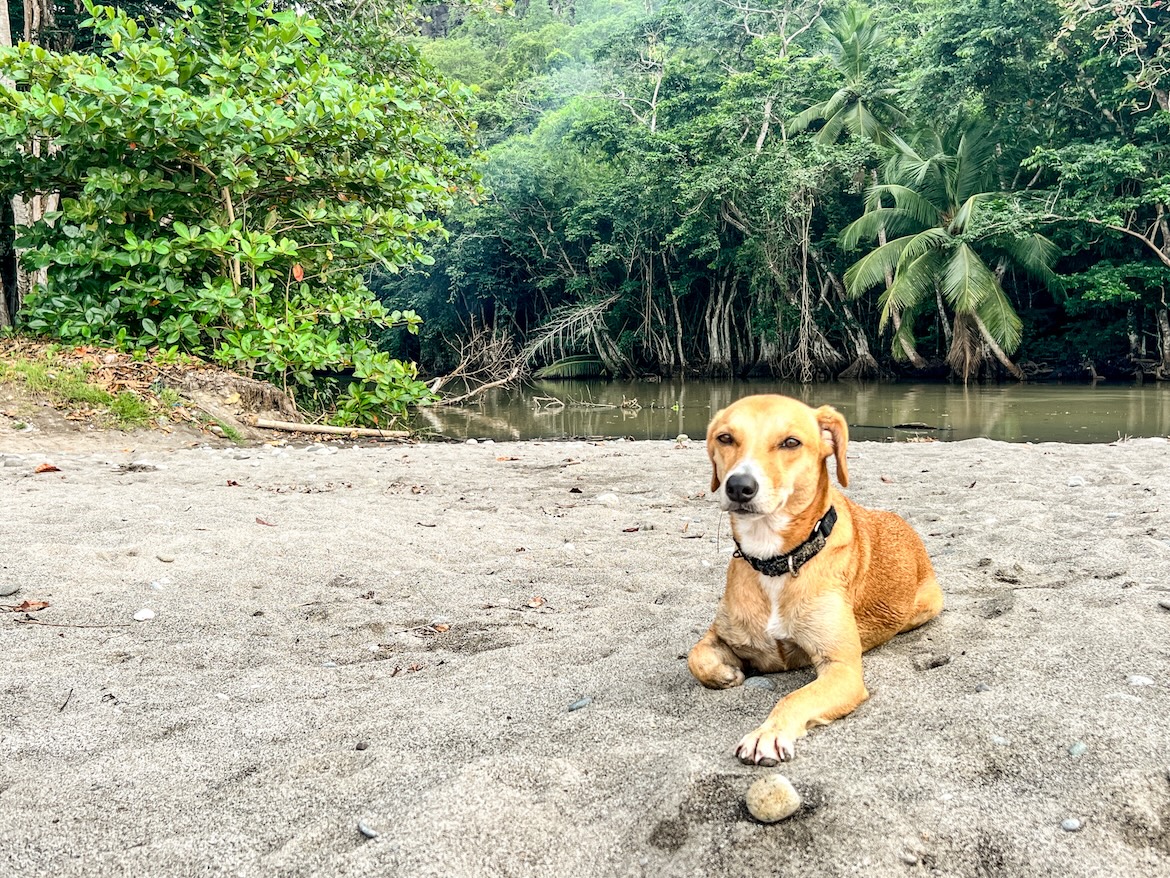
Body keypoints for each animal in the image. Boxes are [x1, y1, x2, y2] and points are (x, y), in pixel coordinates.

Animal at [687, 395, 945, 767]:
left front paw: (767, 734)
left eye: (790, 442)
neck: (777, 561)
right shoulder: (721, 634)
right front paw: (724, 674)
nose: (738, 487)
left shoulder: (842, 669)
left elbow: (794, 697)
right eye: (725, 438)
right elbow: (696, 656)